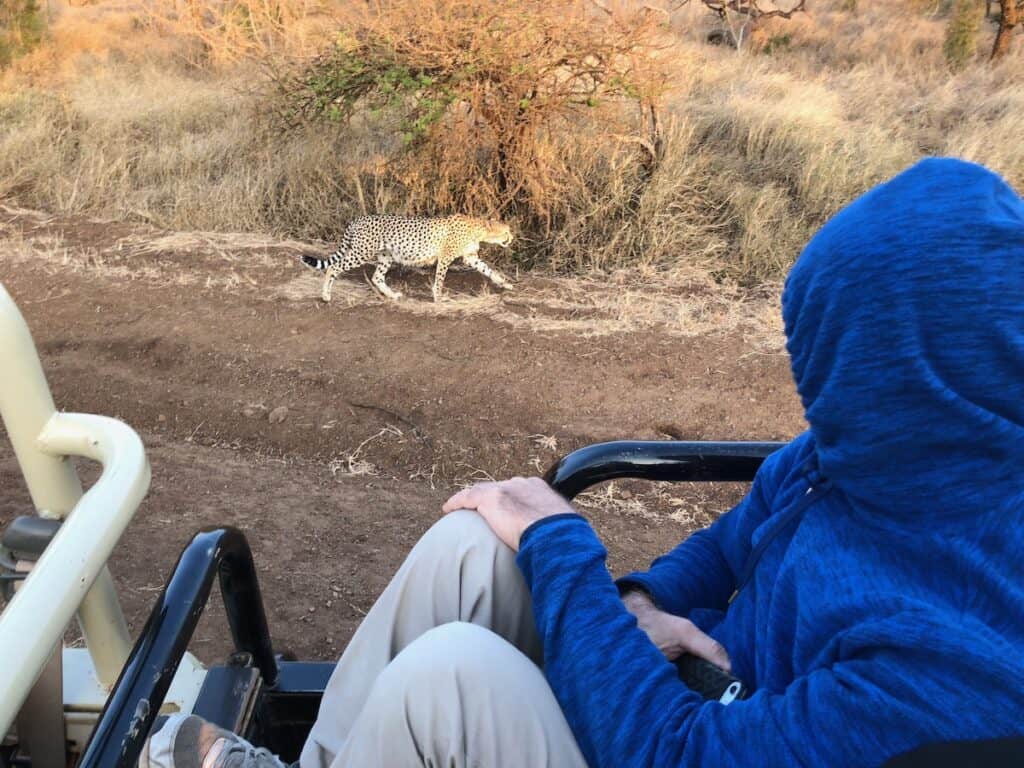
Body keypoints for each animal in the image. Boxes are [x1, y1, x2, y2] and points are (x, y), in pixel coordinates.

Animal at [302, 214, 514, 303]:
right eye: (506, 232)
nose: (512, 238)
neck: (478, 228)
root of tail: (358, 218)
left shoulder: (470, 258)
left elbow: (489, 270)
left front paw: (505, 283)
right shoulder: (445, 257)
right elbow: (439, 280)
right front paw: (438, 297)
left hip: (385, 256)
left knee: (377, 277)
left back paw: (393, 296)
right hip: (361, 253)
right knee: (333, 268)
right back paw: (325, 296)